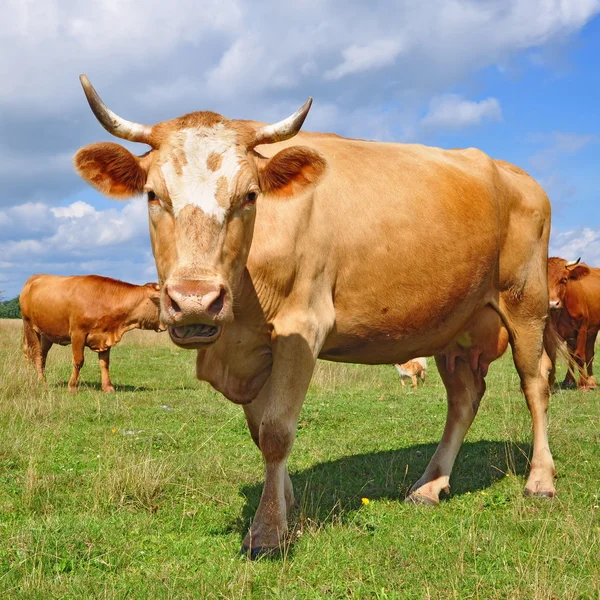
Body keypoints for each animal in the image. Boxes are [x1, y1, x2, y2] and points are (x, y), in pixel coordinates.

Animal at [20, 274, 164, 394]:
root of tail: (34, 277)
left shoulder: (105, 336)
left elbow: (105, 363)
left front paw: (108, 387)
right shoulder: (78, 333)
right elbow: (78, 361)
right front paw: (72, 387)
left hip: (46, 334)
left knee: (42, 355)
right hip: (29, 326)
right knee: (33, 353)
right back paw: (37, 380)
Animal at [75, 75, 556, 556]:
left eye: (249, 195)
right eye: (153, 195)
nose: (195, 300)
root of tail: (515, 174)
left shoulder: (301, 327)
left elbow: (276, 431)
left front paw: (268, 530)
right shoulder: (250, 349)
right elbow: (260, 430)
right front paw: (286, 503)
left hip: (527, 303)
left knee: (535, 384)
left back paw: (540, 480)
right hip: (455, 324)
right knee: (464, 398)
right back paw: (429, 486)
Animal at [548, 256, 600, 390]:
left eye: (564, 279)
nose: (553, 303)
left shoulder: (582, 329)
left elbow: (579, 356)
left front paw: (583, 384)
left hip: (592, 329)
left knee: (589, 353)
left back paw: (591, 381)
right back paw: (569, 380)